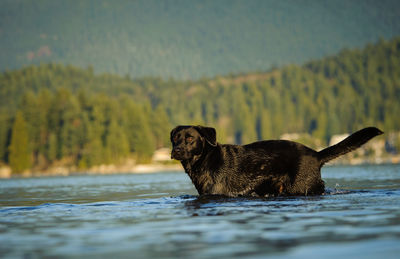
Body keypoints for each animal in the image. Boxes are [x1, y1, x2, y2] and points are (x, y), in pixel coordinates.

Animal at [170, 126, 382, 197]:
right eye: (174, 138)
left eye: (190, 138)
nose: (176, 150)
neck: (204, 160)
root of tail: (316, 155)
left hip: (300, 187)